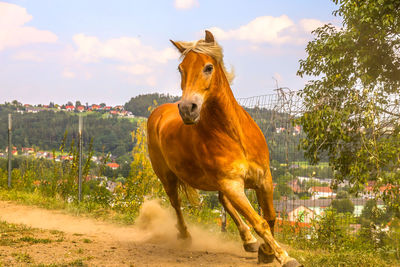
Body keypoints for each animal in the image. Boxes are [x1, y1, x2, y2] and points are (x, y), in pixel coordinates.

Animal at [148, 30, 302, 266]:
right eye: (181, 69)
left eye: (208, 67)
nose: (187, 109)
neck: (233, 135)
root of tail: (159, 113)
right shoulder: (232, 184)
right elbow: (259, 222)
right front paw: (283, 257)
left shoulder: (264, 179)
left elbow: (270, 217)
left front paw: (266, 252)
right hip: (167, 177)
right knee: (176, 203)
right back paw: (185, 236)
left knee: (224, 203)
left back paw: (248, 240)